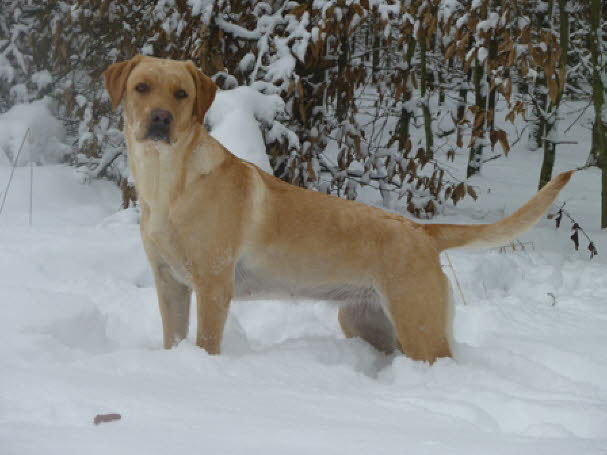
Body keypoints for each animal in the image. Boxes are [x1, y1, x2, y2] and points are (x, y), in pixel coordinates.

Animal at [103, 56, 576, 364]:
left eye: (181, 94)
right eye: (141, 87)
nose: (160, 118)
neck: (167, 182)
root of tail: (422, 232)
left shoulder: (213, 286)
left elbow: (205, 343)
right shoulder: (169, 283)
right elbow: (173, 337)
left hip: (419, 328)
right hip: (367, 321)